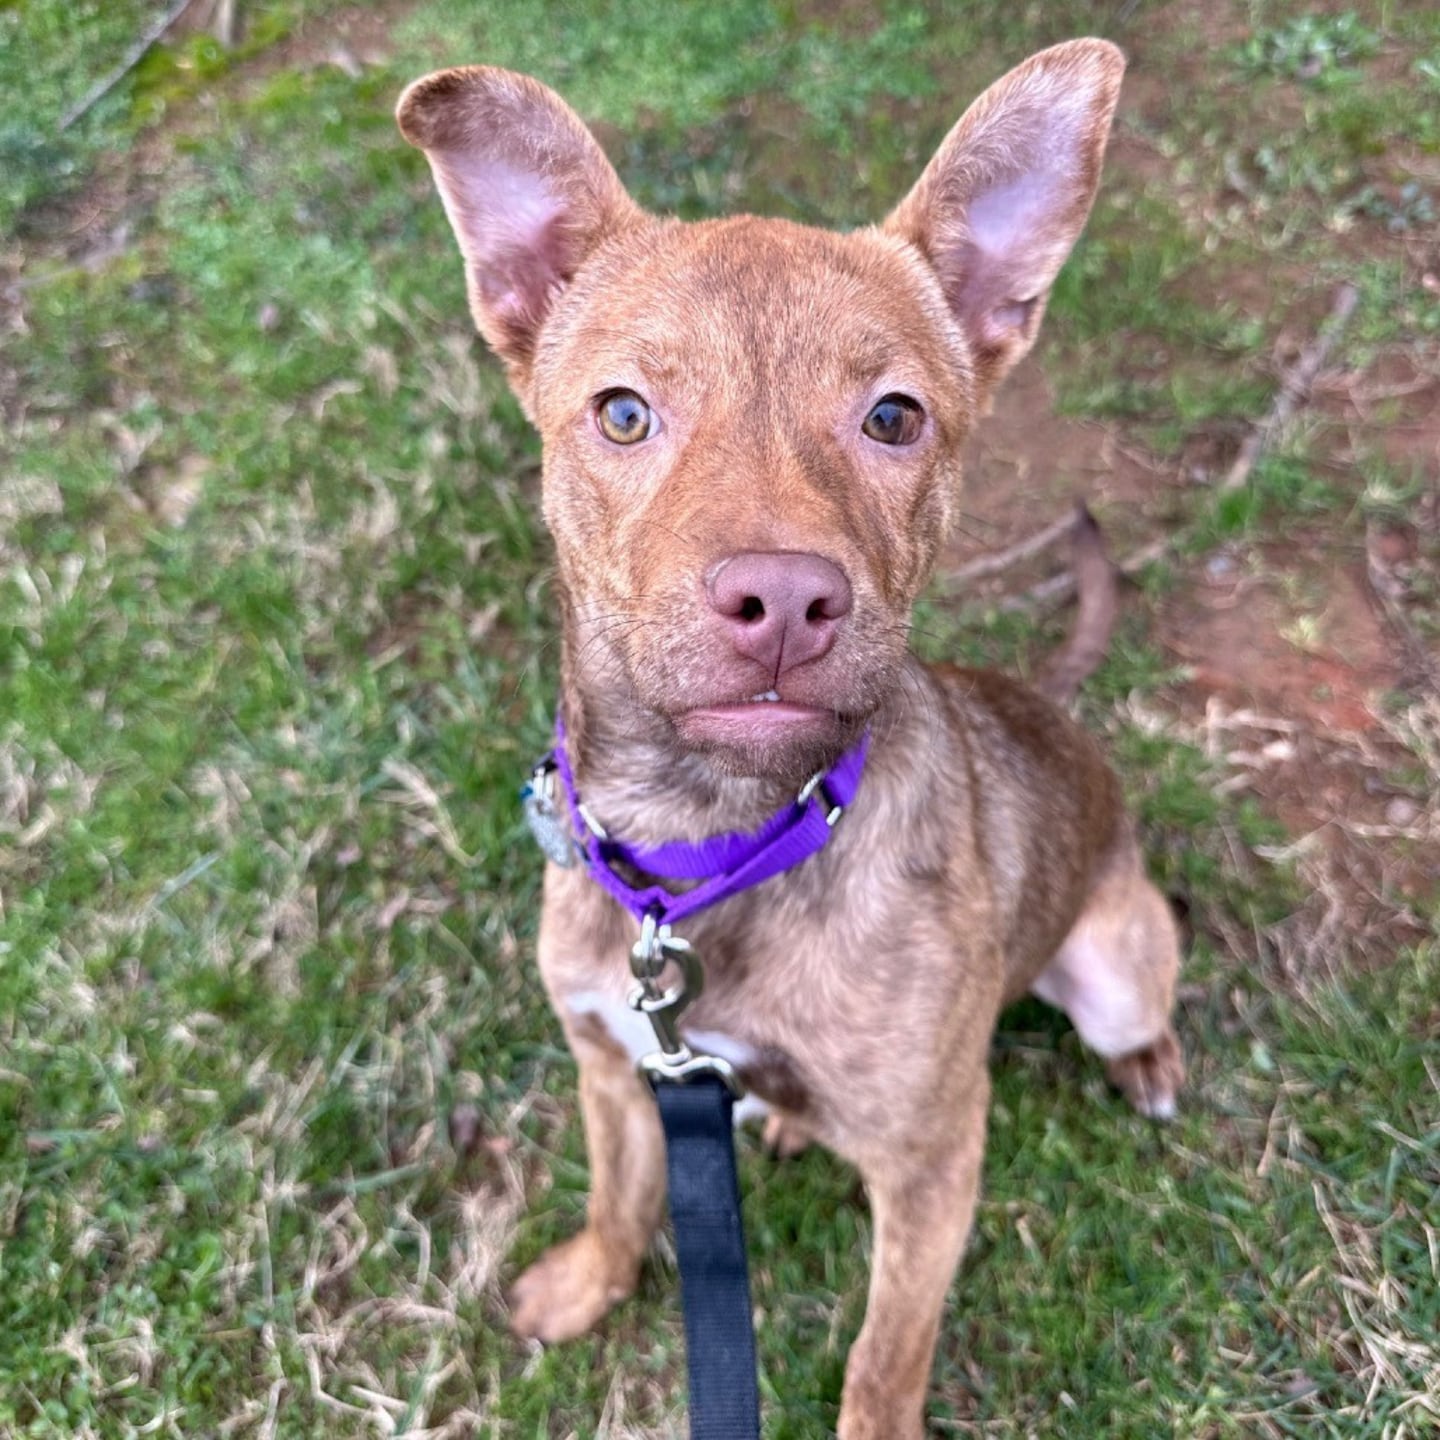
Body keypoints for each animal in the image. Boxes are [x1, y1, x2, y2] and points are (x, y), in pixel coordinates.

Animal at [397, 39, 1183, 1439]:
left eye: (894, 418)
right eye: (622, 413)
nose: (782, 599)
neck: (708, 843)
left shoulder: (934, 1163)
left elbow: (884, 1358)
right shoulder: (615, 1065)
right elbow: (619, 1195)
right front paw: (586, 1283)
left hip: (1114, 966)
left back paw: (1146, 1062)